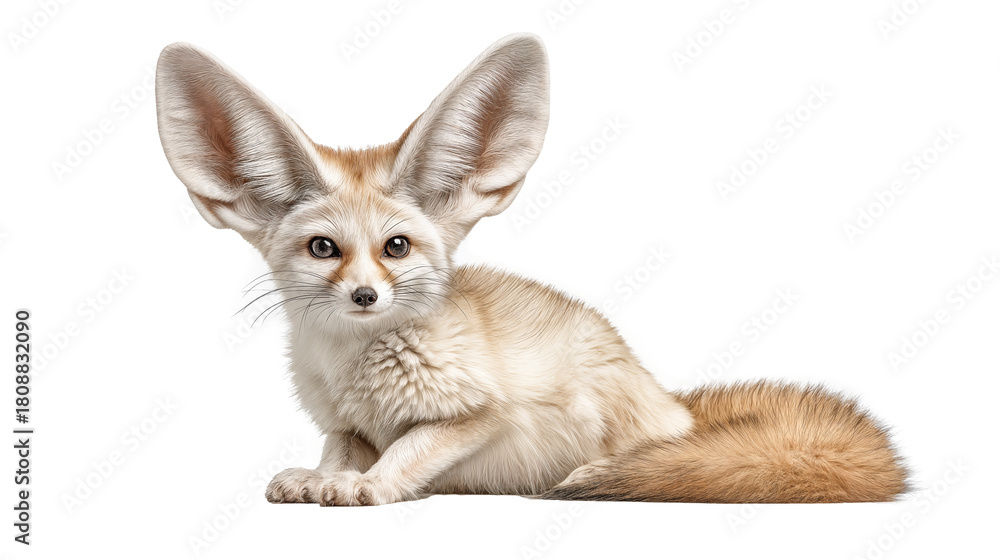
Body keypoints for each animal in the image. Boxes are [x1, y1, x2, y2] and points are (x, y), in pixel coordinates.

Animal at [155, 33, 908, 505]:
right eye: (323, 249)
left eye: (396, 248)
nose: (366, 295)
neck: (359, 371)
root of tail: (671, 399)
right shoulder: (344, 424)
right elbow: (339, 450)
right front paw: (321, 478)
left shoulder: (479, 413)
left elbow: (409, 450)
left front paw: (372, 486)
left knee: (661, 457)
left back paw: (613, 468)